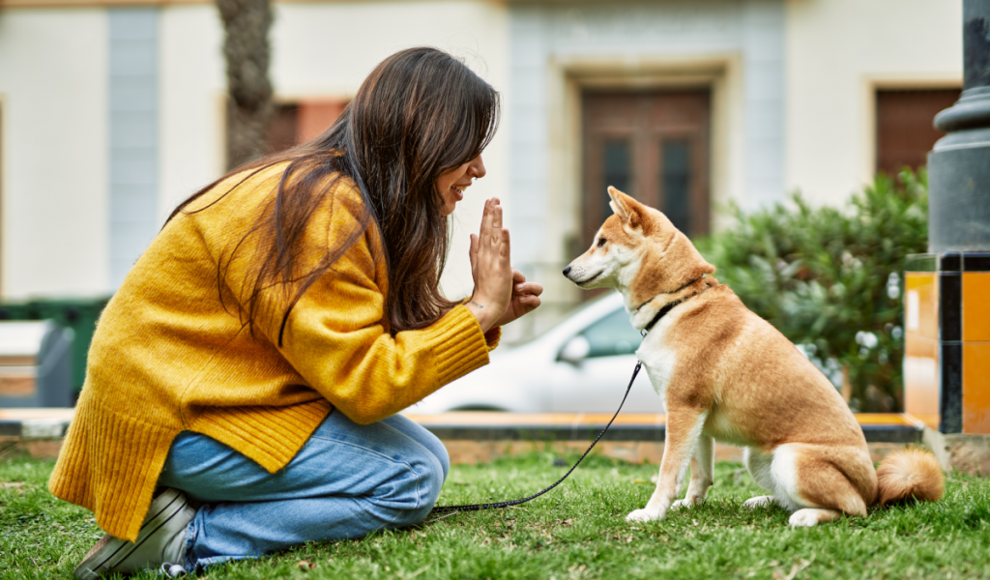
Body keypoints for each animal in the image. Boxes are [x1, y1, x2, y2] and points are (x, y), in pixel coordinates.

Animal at [564, 186, 944, 524]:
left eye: (601, 241)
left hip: (792, 459)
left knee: (853, 508)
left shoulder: (683, 408)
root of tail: (875, 487)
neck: (677, 300)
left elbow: (668, 472)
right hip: (757, 458)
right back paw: (764, 501)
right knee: (798, 499)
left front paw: (652, 513)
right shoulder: (694, 417)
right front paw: (690, 506)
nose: (566, 269)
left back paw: (807, 517)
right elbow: (700, 473)